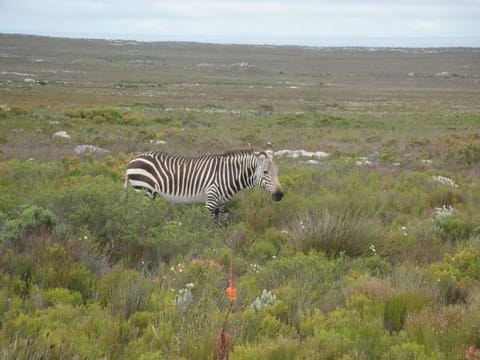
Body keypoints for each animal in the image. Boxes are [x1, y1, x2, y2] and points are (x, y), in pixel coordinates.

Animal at [124, 143, 284, 225]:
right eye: (265, 172)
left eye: (277, 171)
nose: (280, 195)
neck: (227, 174)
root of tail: (133, 159)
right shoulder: (211, 202)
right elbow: (209, 227)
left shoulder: (221, 204)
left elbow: (219, 225)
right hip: (144, 191)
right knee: (139, 213)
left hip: (149, 193)